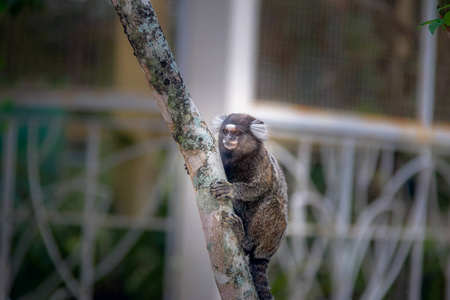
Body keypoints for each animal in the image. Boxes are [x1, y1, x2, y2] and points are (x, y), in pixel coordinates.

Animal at [210, 113, 288, 300]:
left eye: (237, 133)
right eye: (225, 131)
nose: (229, 138)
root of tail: (268, 253)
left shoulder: (261, 163)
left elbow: (259, 188)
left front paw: (231, 189)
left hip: (271, 238)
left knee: (274, 204)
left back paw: (244, 239)